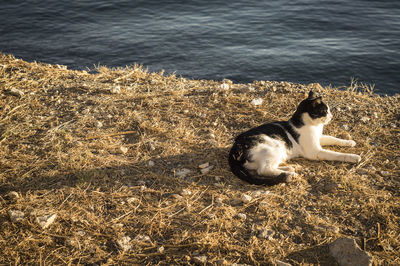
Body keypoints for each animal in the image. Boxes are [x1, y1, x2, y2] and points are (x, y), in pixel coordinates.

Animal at [228, 90, 362, 186]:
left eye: (328, 111)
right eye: (325, 111)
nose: (331, 116)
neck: (313, 126)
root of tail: (235, 148)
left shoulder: (319, 137)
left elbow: (333, 138)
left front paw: (349, 142)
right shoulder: (315, 152)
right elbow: (336, 154)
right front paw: (354, 157)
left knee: (261, 168)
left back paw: (292, 167)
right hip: (273, 147)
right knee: (264, 170)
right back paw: (289, 174)